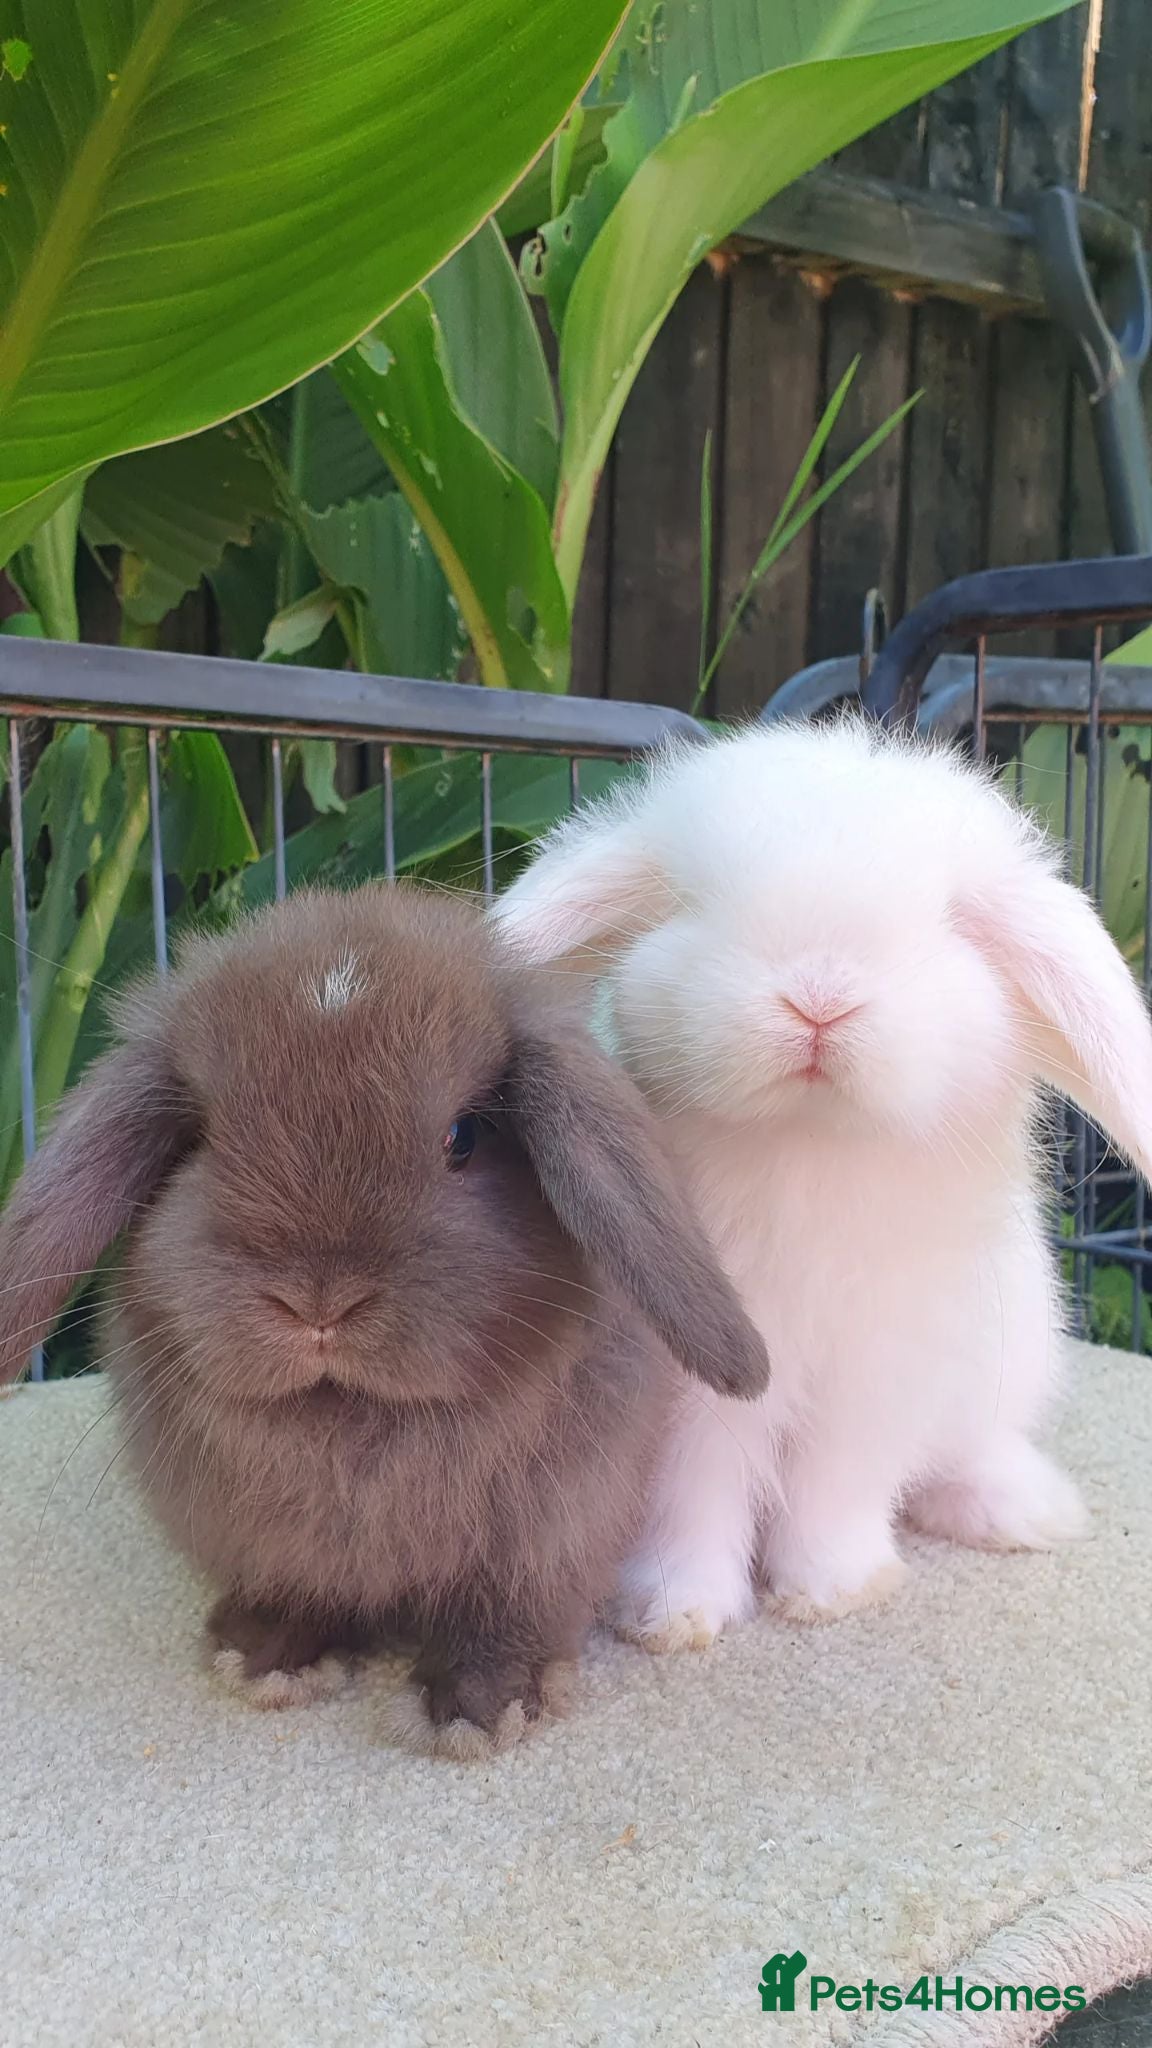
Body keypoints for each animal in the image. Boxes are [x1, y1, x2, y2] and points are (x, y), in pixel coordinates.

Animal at [0, 885, 770, 1754]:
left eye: (464, 1137)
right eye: (201, 1139)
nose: (318, 1303)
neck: (351, 1420)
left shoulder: (546, 1538)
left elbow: (505, 1617)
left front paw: (480, 1709)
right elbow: (293, 1591)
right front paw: (262, 1656)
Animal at [494, 718, 1152, 1646]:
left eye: (951, 924)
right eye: (694, 902)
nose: (819, 998)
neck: (810, 1145)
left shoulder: (877, 1376)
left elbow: (836, 1486)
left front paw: (833, 1591)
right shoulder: (691, 1389)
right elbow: (690, 1495)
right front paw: (671, 1615)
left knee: (970, 1451)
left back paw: (1027, 1512)